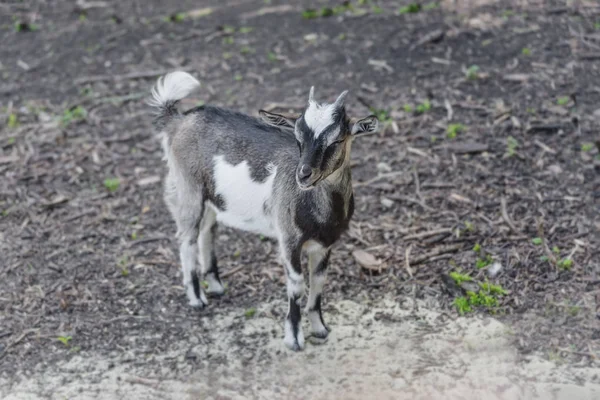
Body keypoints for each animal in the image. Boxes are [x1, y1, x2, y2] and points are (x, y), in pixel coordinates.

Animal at [148, 72, 378, 350]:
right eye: (298, 138)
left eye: (337, 140)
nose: (304, 174)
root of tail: (179, 120)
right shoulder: (288, 239)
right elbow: (297, 284)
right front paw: (294, 338)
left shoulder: (325, 244)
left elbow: (318, 282)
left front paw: (320, 329)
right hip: (187, 188)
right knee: (187, 238)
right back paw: (196, 298)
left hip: (212, 198)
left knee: (206, 232)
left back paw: (215, 286)